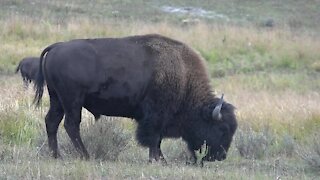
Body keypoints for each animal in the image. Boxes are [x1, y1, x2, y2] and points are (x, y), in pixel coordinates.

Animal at [34, 34, 238, 165]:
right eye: (222, 129)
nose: (220, 156)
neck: (184, 76)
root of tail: (56, 47)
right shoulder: (155, 116)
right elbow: (154, 138)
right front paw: (159, 160)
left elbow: (156, 139)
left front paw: (159, 160)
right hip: (72, 101)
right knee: (71, 125)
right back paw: (85, 156)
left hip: (57, 100)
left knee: (52, 121)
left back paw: (56, 156)